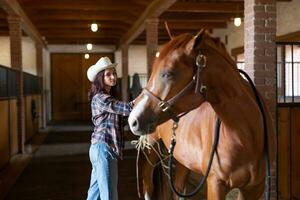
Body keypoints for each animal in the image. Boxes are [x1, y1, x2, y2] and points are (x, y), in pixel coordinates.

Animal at [127, 30, 276, 200]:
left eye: (168, 73)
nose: (133, 119)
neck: (248, 135)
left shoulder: (254, 187)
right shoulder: (215, 184)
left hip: (182, 158)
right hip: (150, 148)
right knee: (148, 185)